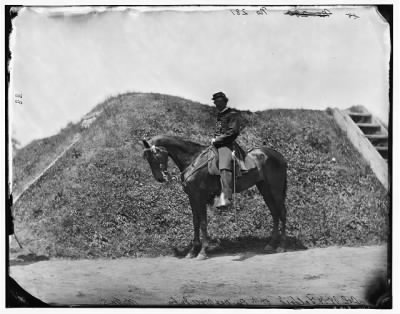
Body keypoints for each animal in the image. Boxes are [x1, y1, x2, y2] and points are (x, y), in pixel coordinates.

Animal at [142, 135, 286, 260]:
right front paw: (192, 251)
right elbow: (195, 222)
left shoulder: (200, 197)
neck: (193, 160)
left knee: (282, 212)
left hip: (276, 189)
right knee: (274, 213)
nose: (160, 178)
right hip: (265, 190)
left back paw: (281, 246)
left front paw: (202, 252)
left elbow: (203, 223)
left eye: (155, 155)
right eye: (147, 158)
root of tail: (279, 156)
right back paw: (271, 245)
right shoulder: (192, 197)